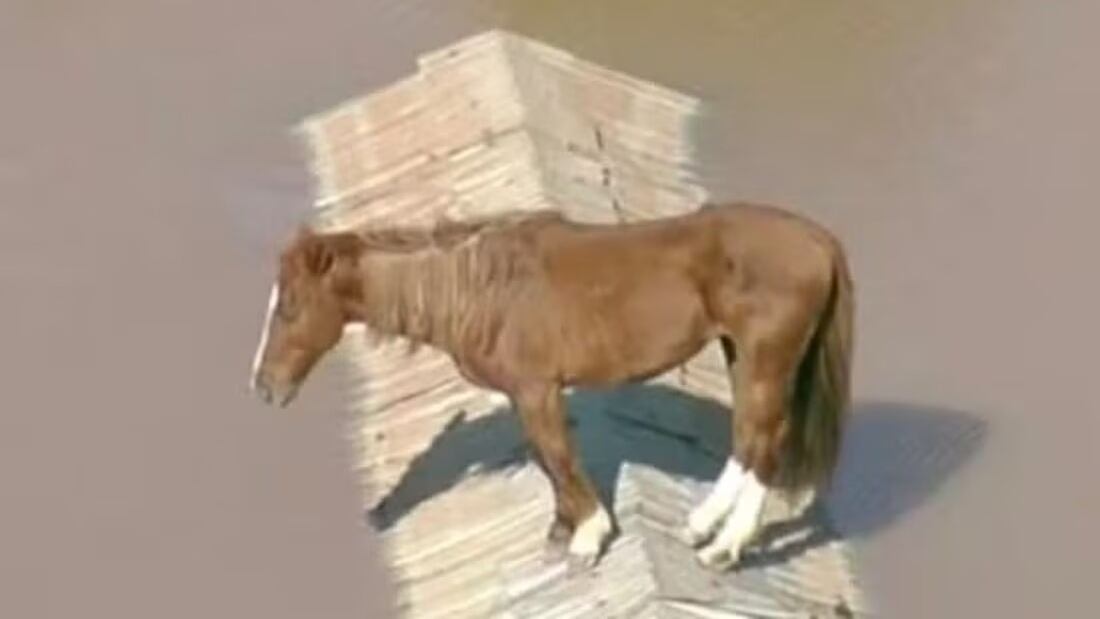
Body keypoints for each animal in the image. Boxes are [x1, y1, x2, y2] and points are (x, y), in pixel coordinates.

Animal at [249, 201, 854, 571]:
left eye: (290, 306)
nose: (263, 387)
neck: (479, 290)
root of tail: (819, 239)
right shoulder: (530, 395)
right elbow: (547, 459)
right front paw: (562, 530)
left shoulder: (535, 389)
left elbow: (558, 456)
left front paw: (588, 536)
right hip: (740, 354)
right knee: (750, 437)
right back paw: (702, 526)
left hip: (765, 357)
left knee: (764, 442)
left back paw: (723, 547)